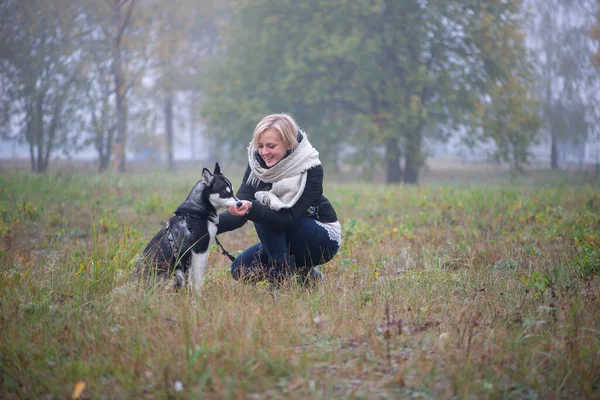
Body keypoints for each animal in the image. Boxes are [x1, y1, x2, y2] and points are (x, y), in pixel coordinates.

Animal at [135, 162, 240, 290]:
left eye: (233, 192)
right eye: (225, 193)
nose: (240, 203)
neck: (195, 214)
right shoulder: (199, 252)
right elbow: (197, 281)